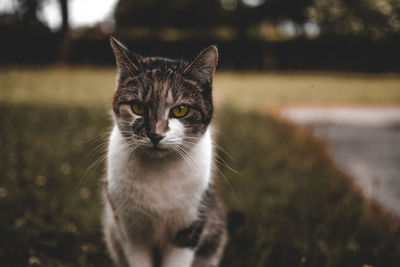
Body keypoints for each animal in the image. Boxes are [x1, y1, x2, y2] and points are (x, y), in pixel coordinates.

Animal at [102, 37, 228, 267]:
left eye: (180, 110)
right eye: (137, 107)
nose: (155, 134)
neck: (159, 171)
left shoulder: (188, 230)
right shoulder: (131, 233)